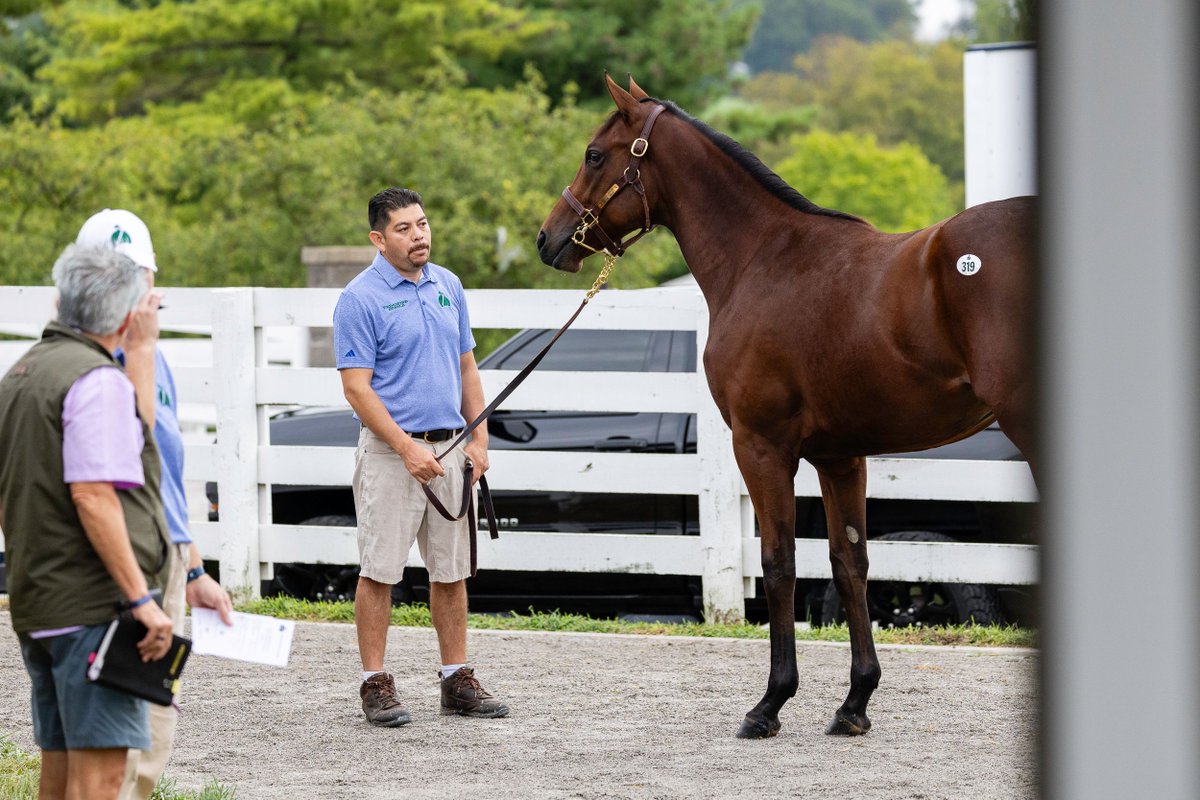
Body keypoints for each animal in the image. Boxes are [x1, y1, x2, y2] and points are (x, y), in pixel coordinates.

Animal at [537, 75, 1037, 740]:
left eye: (595, 154)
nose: (549, 238)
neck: (763, 259)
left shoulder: (761, 446)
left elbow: (778, 564)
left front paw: (770, 703)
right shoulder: (839, 457)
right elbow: (849, 563)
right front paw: (855, 704)